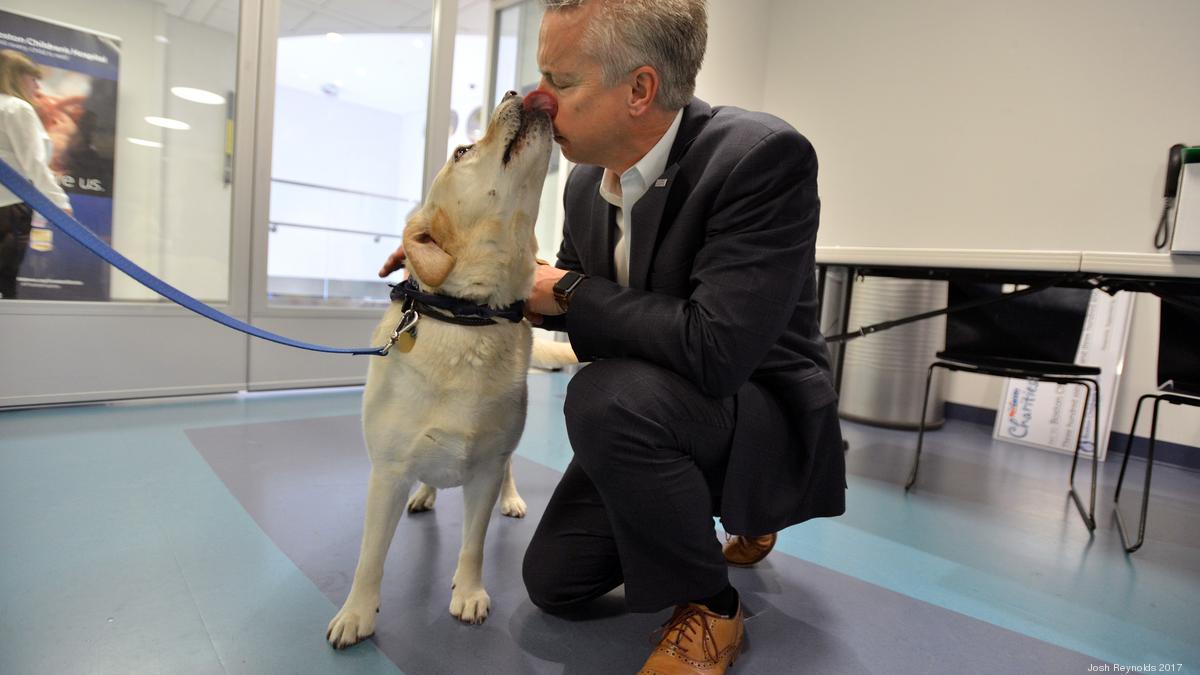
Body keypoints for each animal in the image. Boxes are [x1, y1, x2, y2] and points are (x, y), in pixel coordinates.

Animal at [326, 90, 554, 648]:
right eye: (463, 151)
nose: (515, 92)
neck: (470, 314)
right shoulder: (386, 473)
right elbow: (370, 558)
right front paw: (357, 614)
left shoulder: (487, 466)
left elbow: (473, 545)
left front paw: (468, 593)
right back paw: (426, 493)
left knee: (510, 471)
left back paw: (512, 499)